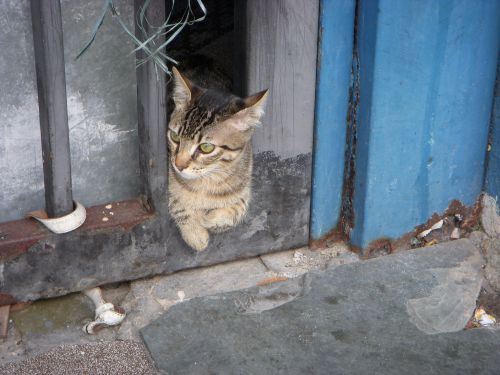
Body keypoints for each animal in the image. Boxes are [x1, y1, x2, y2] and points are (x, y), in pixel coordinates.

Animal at [167, 67, 270, 253]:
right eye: (175, 137)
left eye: (206, 147)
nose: (178, 165)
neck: (207, 181)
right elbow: (177, 203)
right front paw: (195, 232)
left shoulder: (244, 188)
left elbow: (239, 207)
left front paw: (210, 219)